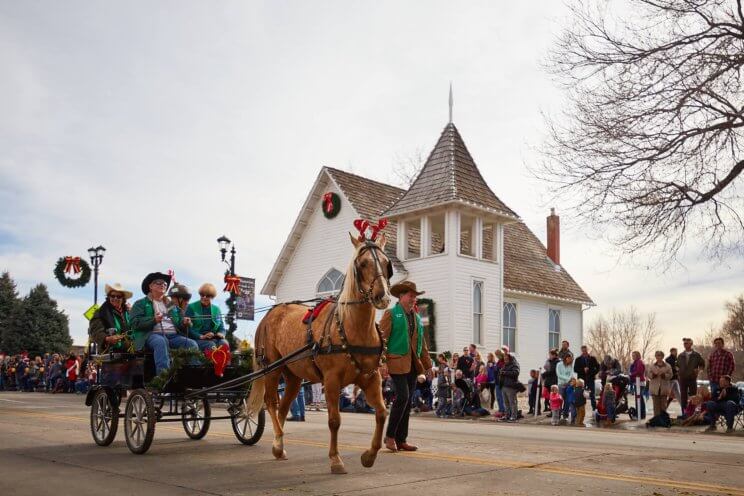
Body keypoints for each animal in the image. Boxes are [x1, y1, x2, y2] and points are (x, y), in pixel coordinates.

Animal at [246, 232, 396, 472]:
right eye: (362, 264)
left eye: (385, 263)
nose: (382, 296)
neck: (354, 328)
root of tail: (272, 312)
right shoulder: (332, 379)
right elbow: (334, 420)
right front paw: (335, 459)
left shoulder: (372, 377)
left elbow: (382, 414)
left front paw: (369, 456)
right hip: (272, 368)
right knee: (271, 403)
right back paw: (278, 440)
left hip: (293, 376)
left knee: (283, 407)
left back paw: (279, 445)